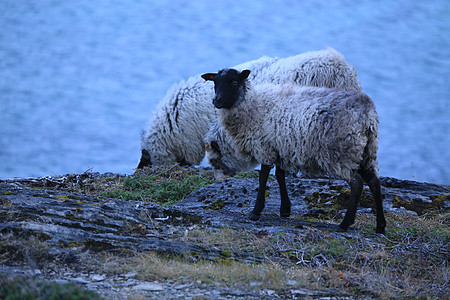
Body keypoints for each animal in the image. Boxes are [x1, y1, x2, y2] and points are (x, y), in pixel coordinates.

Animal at [201, 68, 386, 234]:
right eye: (215, 82)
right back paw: (380, 227)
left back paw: (345, 224)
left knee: (357, 184)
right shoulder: (282, 149)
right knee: (374, 183)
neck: (252, 104)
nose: (216, 101)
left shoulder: (265, 148)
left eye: (234, 82)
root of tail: (367, 113)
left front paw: (256, 212)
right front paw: (285, 210)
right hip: (367, 151)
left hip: (342, 154)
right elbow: (280, 177)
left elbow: (263, 178)